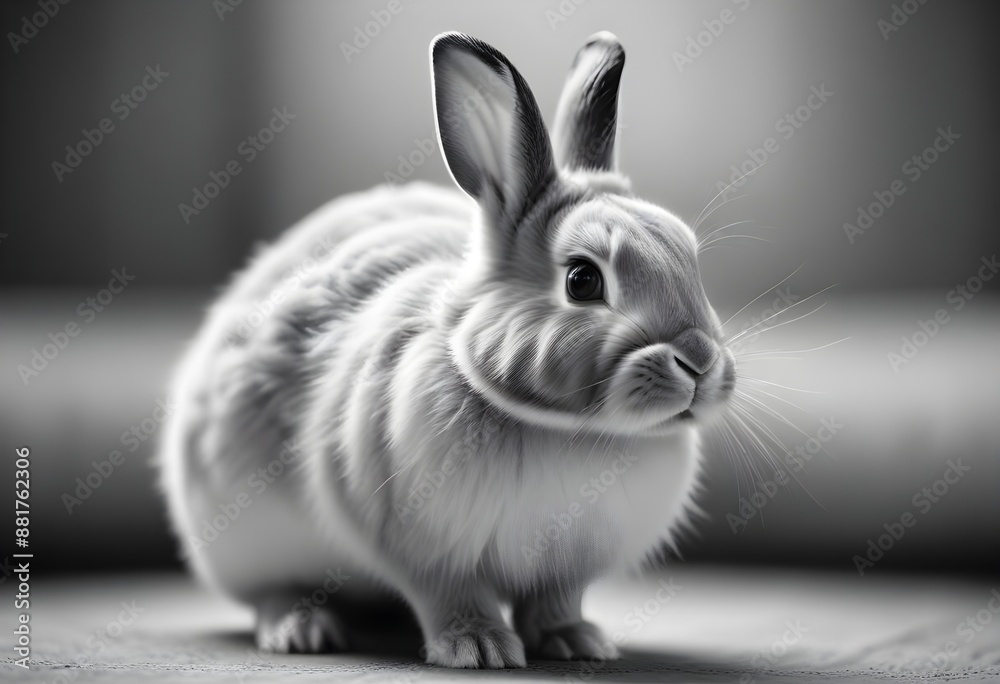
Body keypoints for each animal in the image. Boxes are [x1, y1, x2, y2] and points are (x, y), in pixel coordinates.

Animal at [160, 31, 735, 669]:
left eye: (688, 255)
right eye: (583, 280)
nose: (700, 362)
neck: (570, 430)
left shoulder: (565, 568)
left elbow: (555, 601)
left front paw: (577, 642)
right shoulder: (422, 548)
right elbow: (451, 595)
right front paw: (479, 648)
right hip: (249, 536)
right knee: (273, 591)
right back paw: (303, 630)